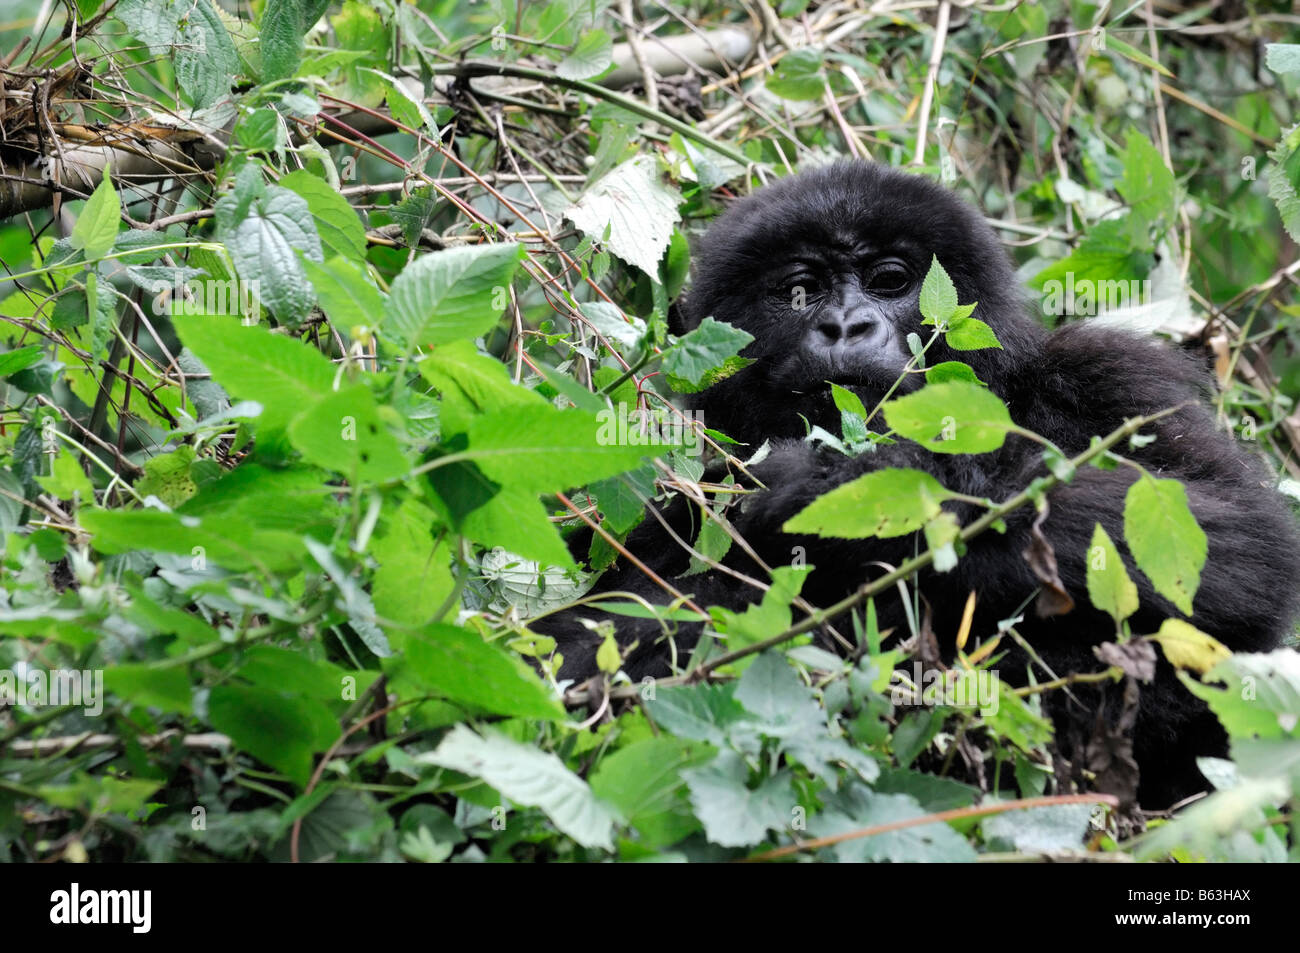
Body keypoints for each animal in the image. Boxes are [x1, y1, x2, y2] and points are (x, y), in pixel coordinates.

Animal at [538, 159, 1300, 806]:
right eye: (798, 291)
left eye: (890, 280)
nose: (845, 325)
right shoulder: (658, 487)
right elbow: (570, 643)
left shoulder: (1108, 372)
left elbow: (1237, 539)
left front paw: (831, 484)